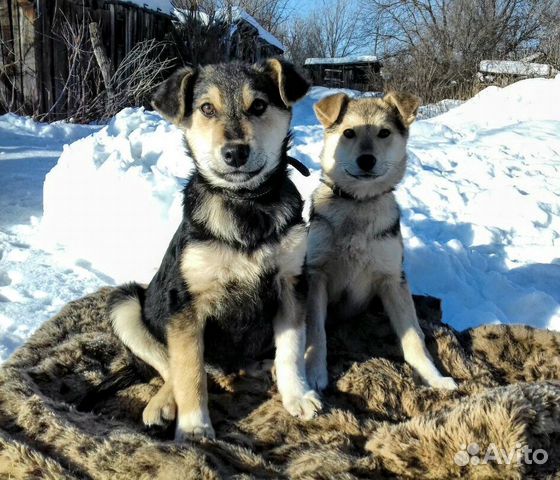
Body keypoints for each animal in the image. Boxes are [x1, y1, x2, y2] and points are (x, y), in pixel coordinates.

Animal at [108, 58, 320, 440]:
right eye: (207, 109)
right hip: (125, 303)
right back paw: (162, 404)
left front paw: (297, 394)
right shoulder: (185, 303)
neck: (245, 202)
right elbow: (189, 370)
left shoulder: (292, 283)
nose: (235, 153)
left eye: (259, 106)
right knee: (171, 366)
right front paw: (194, 428)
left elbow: (291, 349)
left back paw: (263, 367)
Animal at [304, 92, 458, 392]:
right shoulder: (316, 274)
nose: (367, 160)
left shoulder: (392, 279)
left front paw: (433, 376)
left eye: (384, 133)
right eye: (348, 133)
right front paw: (314, 373)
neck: (359, 204)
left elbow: (414, 338)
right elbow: (316, 332)